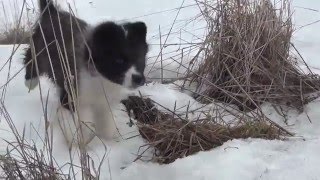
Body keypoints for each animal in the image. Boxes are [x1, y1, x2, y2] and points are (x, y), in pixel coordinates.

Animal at [23, 0, 149, 143]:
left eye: (140, 60)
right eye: (119, 60)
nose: (139, 79)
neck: (100, 80)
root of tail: (51, 12)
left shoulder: (104, 103)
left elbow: (106, 125)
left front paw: (106, 138)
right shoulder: (70, 95)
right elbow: (79, 123)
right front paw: (75, 139)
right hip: (38, 49)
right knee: (30, 59)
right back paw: (31, 82)